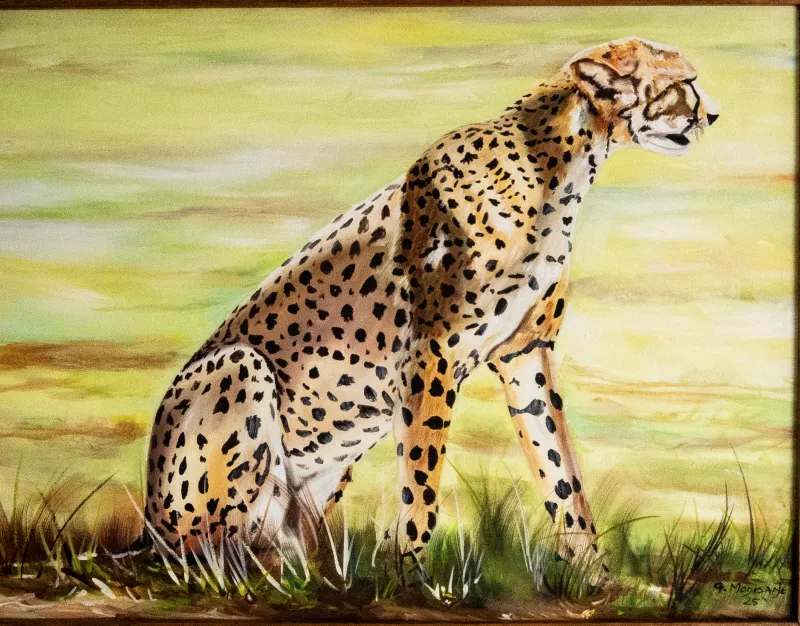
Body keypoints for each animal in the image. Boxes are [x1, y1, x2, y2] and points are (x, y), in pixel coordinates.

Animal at [143, 37, 718, 564]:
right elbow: (422, 477)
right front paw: (405, 569)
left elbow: (559, 470)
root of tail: (147, 527)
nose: (712, 114)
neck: (557, 167)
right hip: (238, 368)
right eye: (684, 83)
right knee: (212, 547)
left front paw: (587, 568)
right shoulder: (430, 355)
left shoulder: (523, 353)